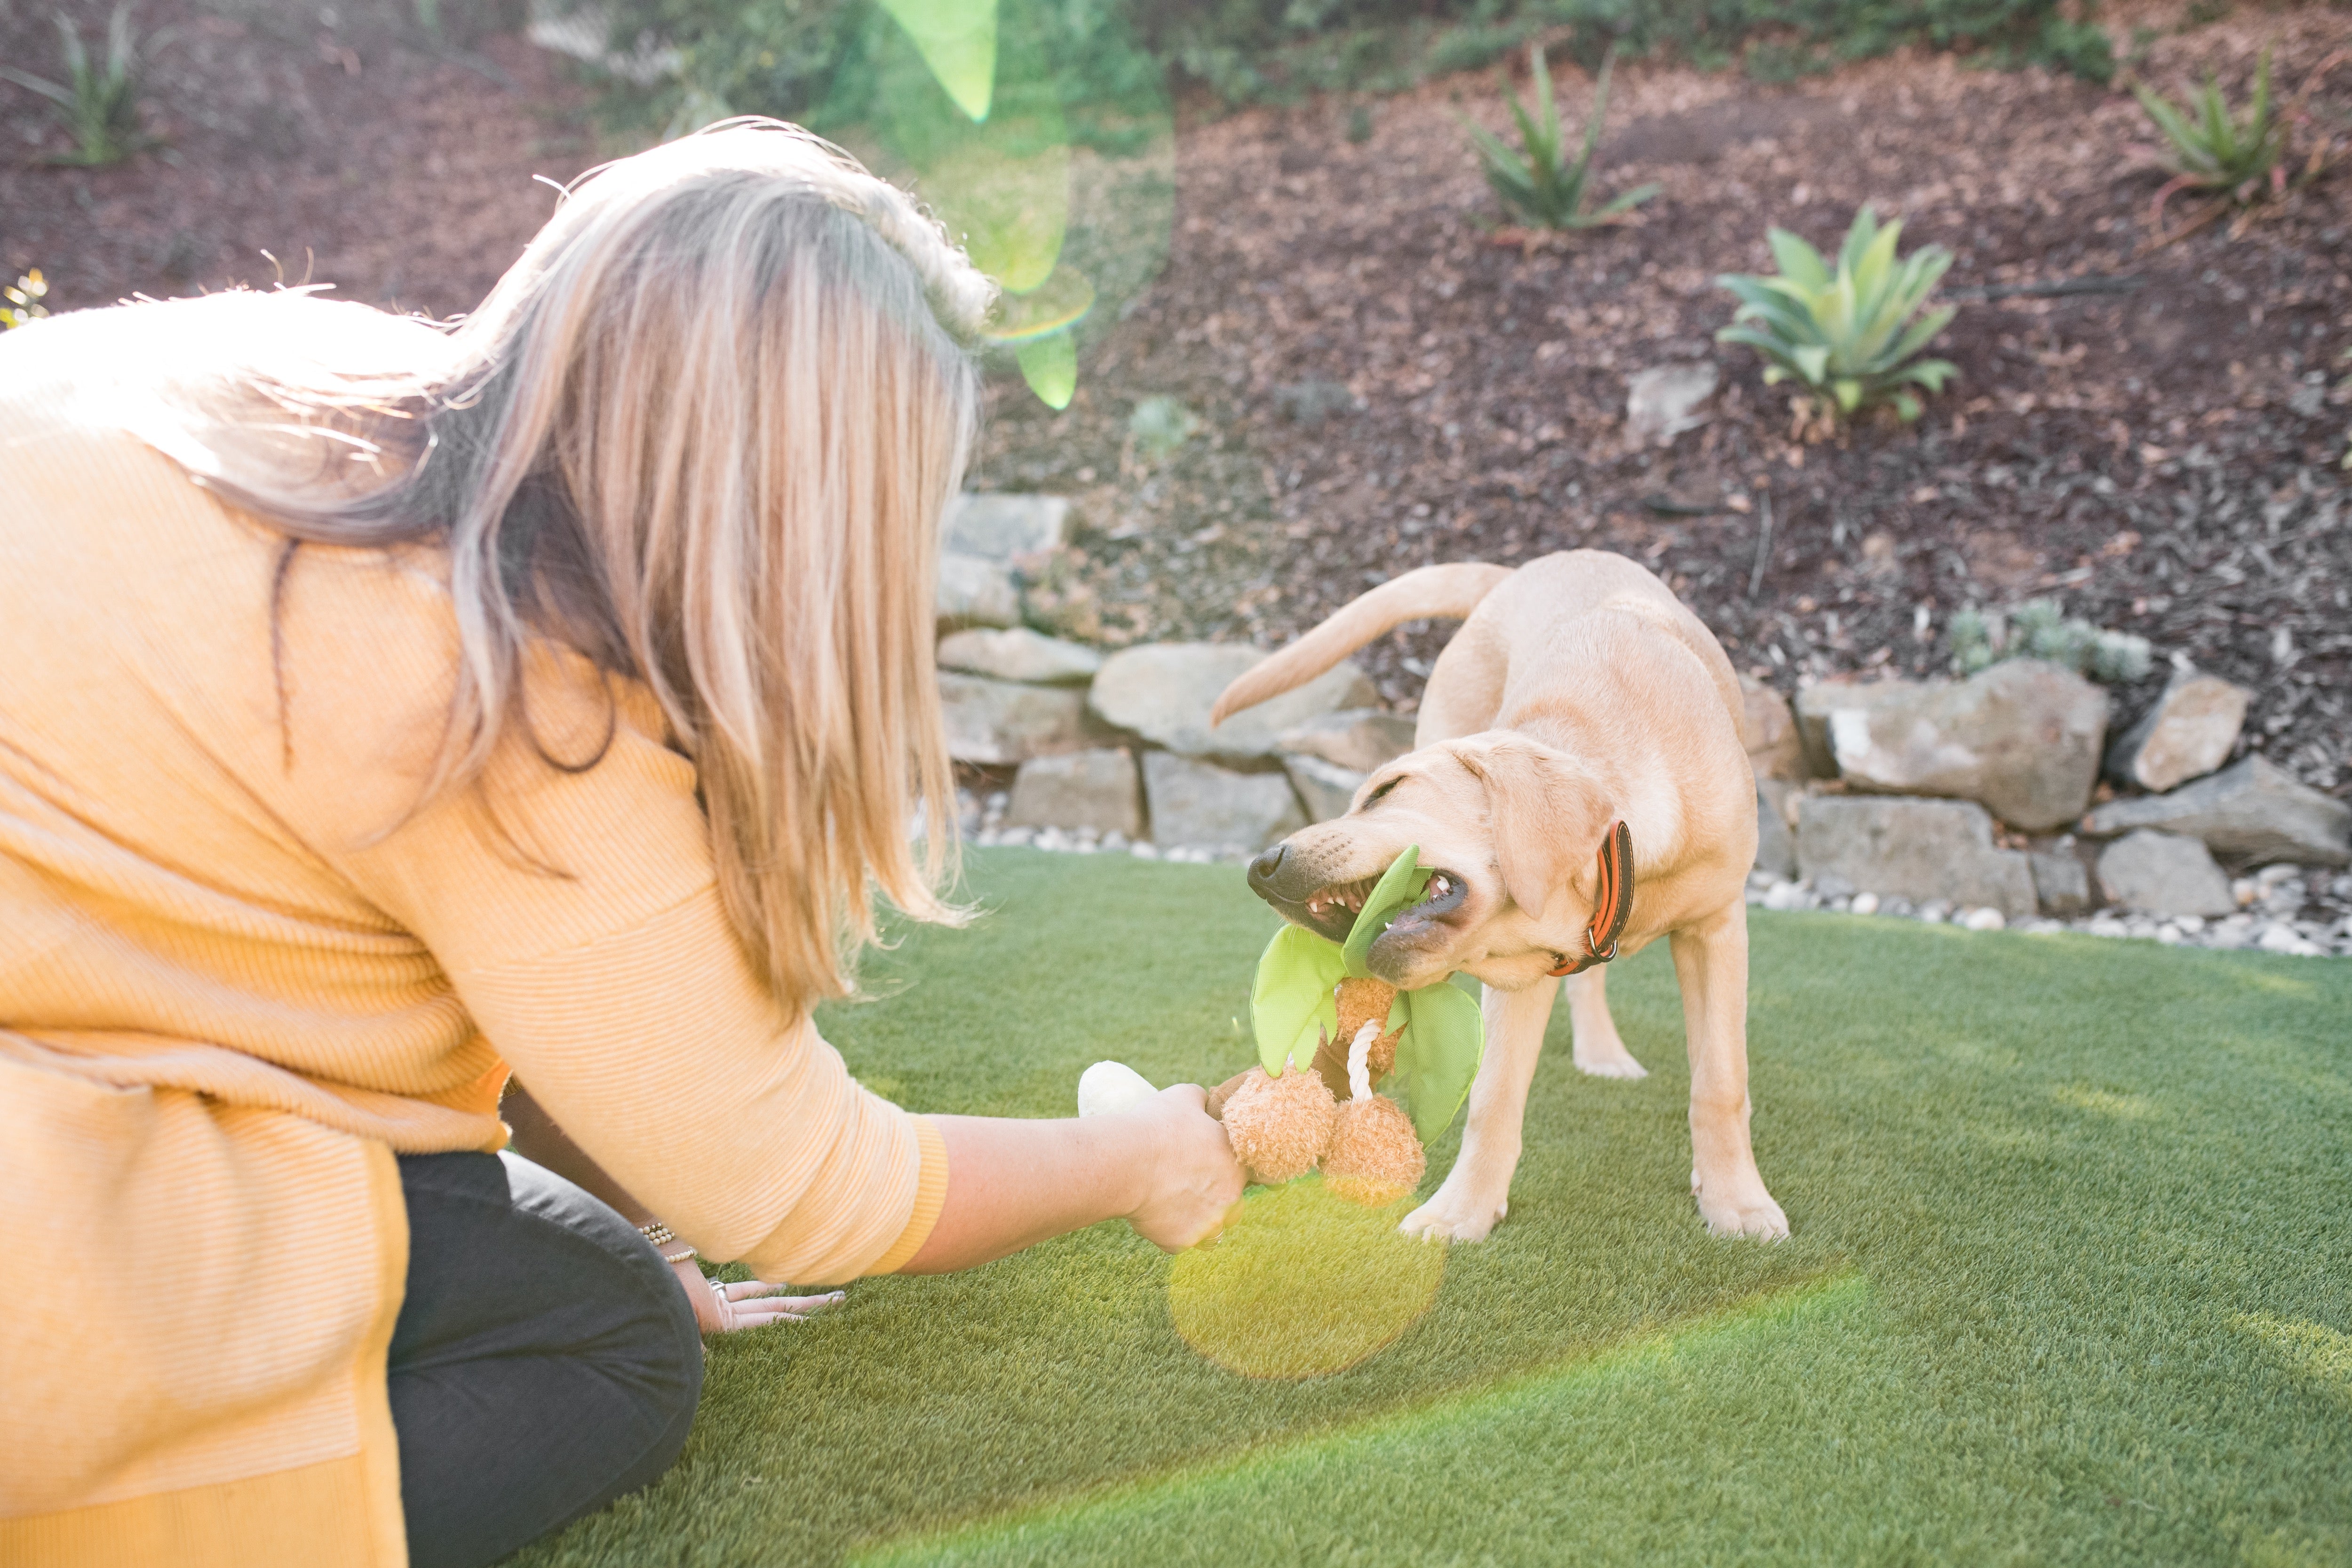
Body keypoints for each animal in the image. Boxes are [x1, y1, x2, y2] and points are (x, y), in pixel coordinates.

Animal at [1214, 557, 1778, 1241]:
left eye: (1386, 790)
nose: (1261, 867)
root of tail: (1524, 569)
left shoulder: (1717, 929)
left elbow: (1721, 1083)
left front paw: (1737, 1202)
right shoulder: (1528, 971)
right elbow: (1493, 1097)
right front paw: (1461, 1212)